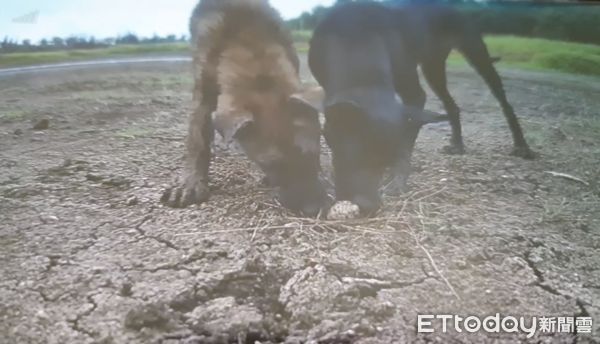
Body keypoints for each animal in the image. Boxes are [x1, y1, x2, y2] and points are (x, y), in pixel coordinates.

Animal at [162, 0, 326, 215]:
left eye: (312, 154)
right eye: (272, 165)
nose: (313, 210)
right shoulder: (203, 92)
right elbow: (197, 140)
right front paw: (191, 183)